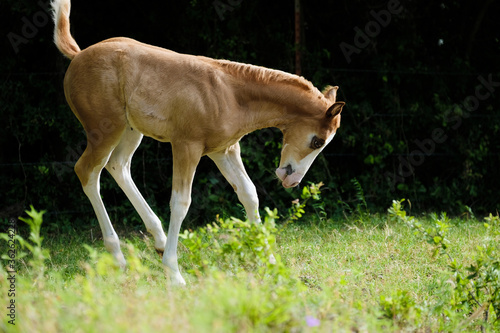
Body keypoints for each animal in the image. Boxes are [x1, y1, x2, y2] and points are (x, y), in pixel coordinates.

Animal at [52, 0, 346, 286]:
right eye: (317, 140)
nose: (291, 179)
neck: (232, 95)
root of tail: (78, 55)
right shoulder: (186, 147)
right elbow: (181, 202)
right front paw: (174, 274)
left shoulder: (224, 150)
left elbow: (249, 194)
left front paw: (269, 261)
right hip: (105, 130)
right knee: (87, 171)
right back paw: (119, 257)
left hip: (131, 130)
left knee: (118, 166)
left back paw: (157, 241)